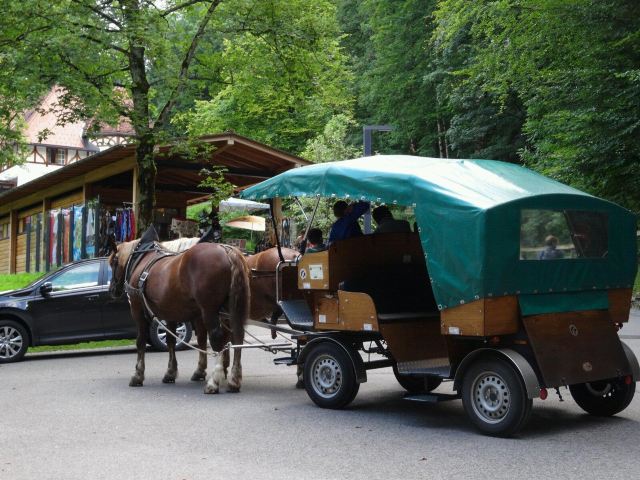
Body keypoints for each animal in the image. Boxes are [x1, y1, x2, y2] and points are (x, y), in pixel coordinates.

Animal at [110, 236, 250, 394]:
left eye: (113, 262)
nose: (112, 289)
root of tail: (226, 250)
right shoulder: (171, 313)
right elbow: (171, 340)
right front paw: (171, 372)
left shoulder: (137, 310)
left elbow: (140, 341)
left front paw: (138, 375)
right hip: (229, 310)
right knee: (236, 337)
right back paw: (234, 380)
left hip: (209, 310)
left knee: (217, 338)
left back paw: (214, 382)